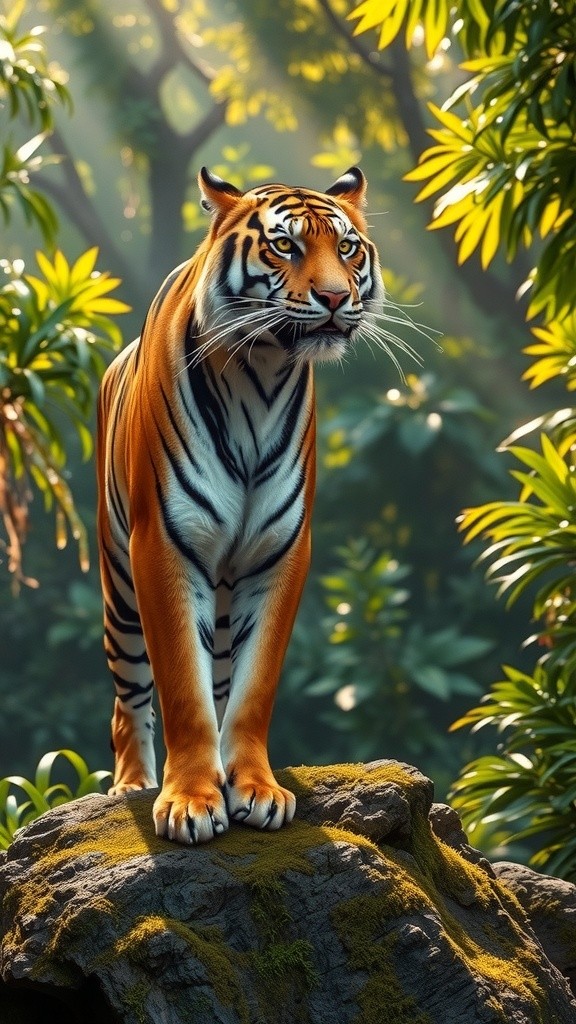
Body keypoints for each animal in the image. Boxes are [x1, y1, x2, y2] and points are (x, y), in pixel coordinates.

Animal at [97, 165, 387, 845]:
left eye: (348, 249)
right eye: (284, 246)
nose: (334, 298)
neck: (264, 373)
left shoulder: (281, 553)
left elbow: (253, 690)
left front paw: (254, 788)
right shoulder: (164, 544)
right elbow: (183, 686)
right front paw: (190, 801)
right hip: (119, 590)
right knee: (129, 700)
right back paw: (131, 785)